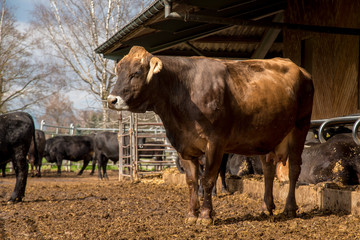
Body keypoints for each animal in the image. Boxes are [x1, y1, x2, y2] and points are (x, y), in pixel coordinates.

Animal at [106, 46, 312, 225]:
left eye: (136, 73)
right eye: (119, 72)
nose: (111, 100)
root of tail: (301, 69)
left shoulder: (215, 144)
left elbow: (207, 179)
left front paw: (205, 216)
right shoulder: (184, 147)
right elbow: (191, 181)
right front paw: (191, 214)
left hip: (300, 127)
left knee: (294, 169)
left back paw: (290, 208)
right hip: (267, 135)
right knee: (268, 171)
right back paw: (266, 207)